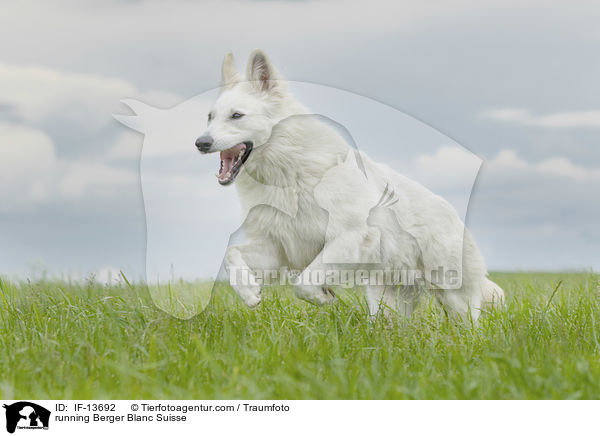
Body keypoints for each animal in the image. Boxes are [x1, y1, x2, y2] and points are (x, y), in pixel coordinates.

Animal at [196, 52, 502, 324]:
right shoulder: (278, 247)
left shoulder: (348, 238)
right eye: (210, 117)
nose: (200, 143)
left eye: (237, 116)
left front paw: (324, 297)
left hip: (454, 297)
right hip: (387, 299)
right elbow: (231, 254)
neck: (289, 172)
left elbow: (303, 282)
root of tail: (454, 214)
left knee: (469, 326)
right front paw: (249, 292)